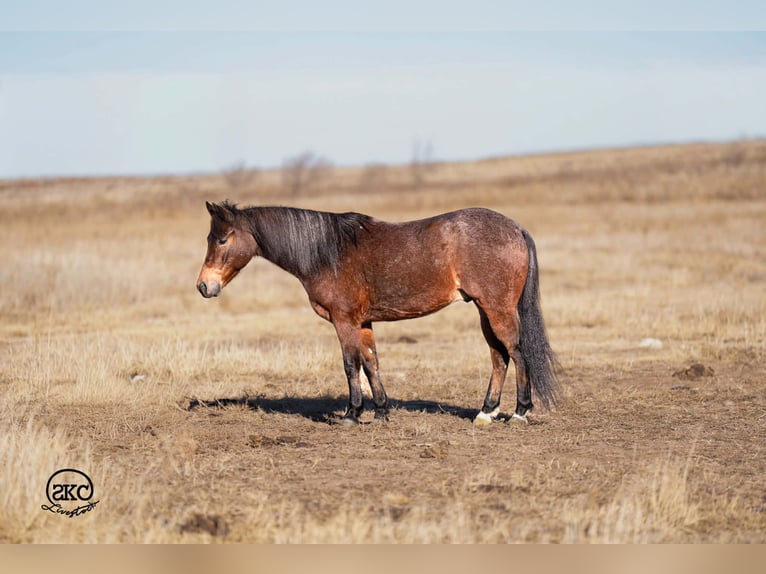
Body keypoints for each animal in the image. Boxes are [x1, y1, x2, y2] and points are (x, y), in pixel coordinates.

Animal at [196, 201, 559, 426]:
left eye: (223, 239)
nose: (204, 286)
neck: (328, 253)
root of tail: (515, 229)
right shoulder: (363, 322)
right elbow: (371, 363)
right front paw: (381, 411)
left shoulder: (344, 321)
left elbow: (350, 364)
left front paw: (352, 413)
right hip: (485, 311)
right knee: (499, 356)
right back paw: (486, 412)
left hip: (497, 308)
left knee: (516, 352)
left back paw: (519, 412)